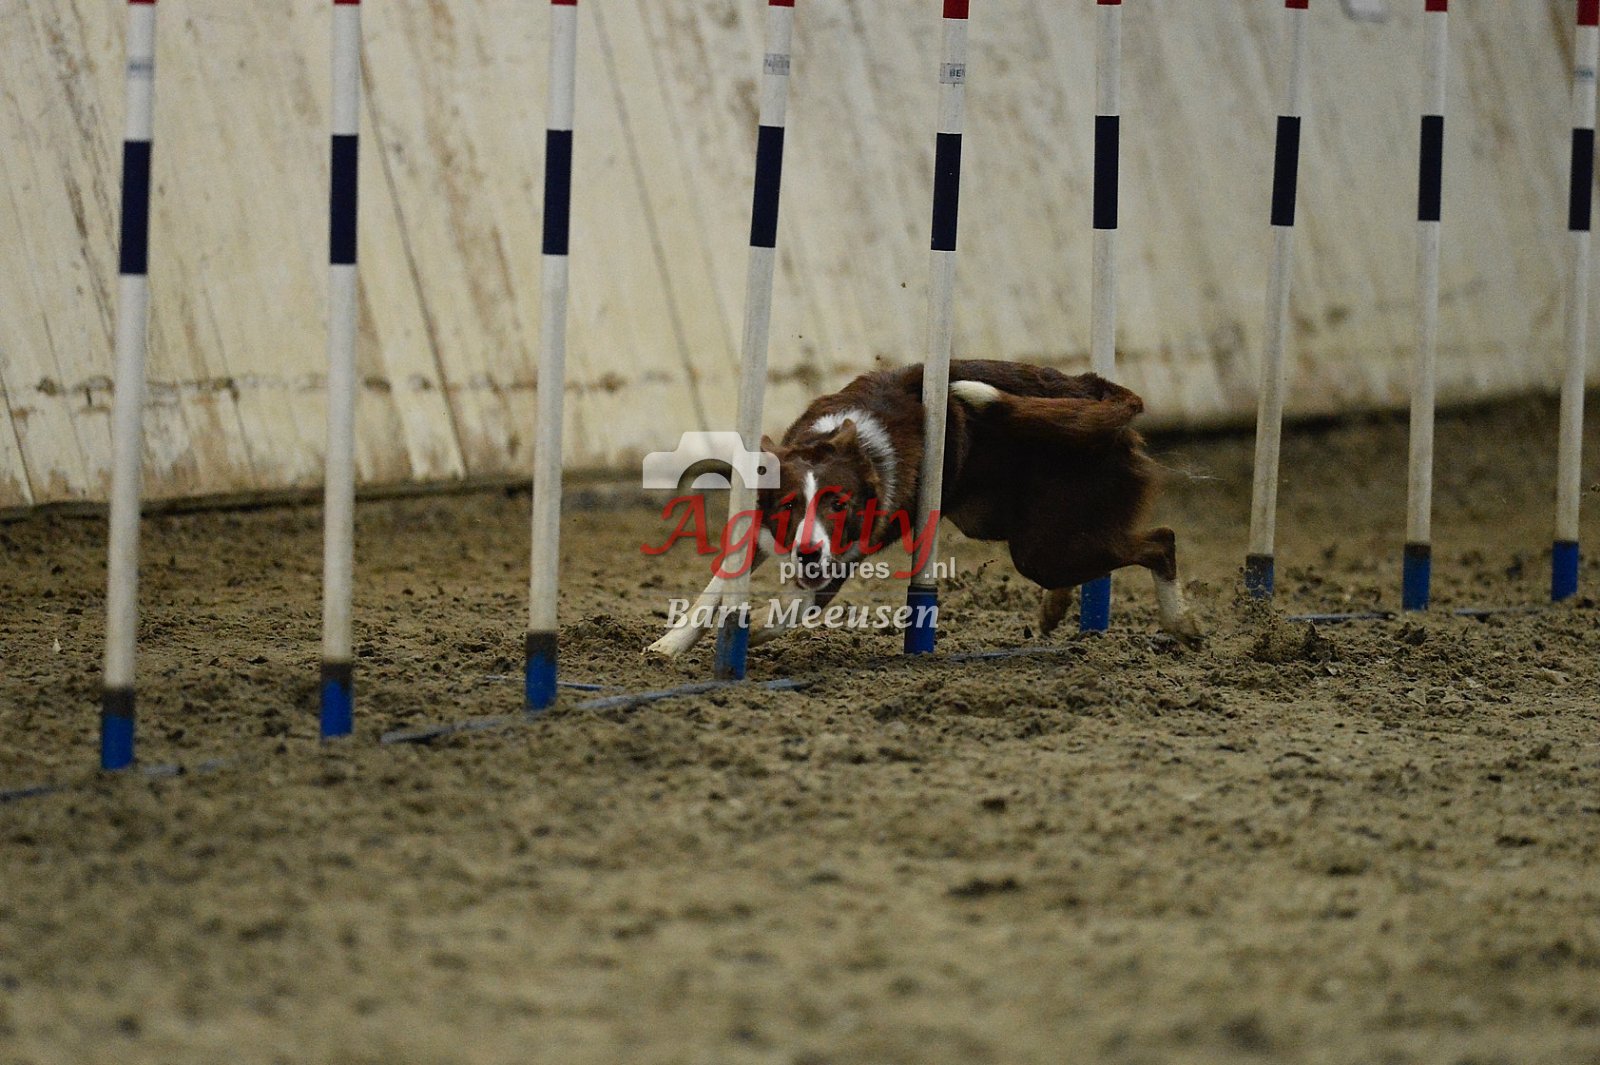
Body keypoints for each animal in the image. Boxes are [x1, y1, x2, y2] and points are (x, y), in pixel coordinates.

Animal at [646, 359, 1201, 656]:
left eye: (840, 503)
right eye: (788, 504)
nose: (805, 552)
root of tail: (1096, 391)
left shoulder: (842, 555)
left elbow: (794, 605)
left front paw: (754, 627)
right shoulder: (762, 529)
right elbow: (714, 589)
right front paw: (670, 645)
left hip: (1044, 544)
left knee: (1162, 540)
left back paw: (1182, 624)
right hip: (1015, 527)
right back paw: (1053, 611)